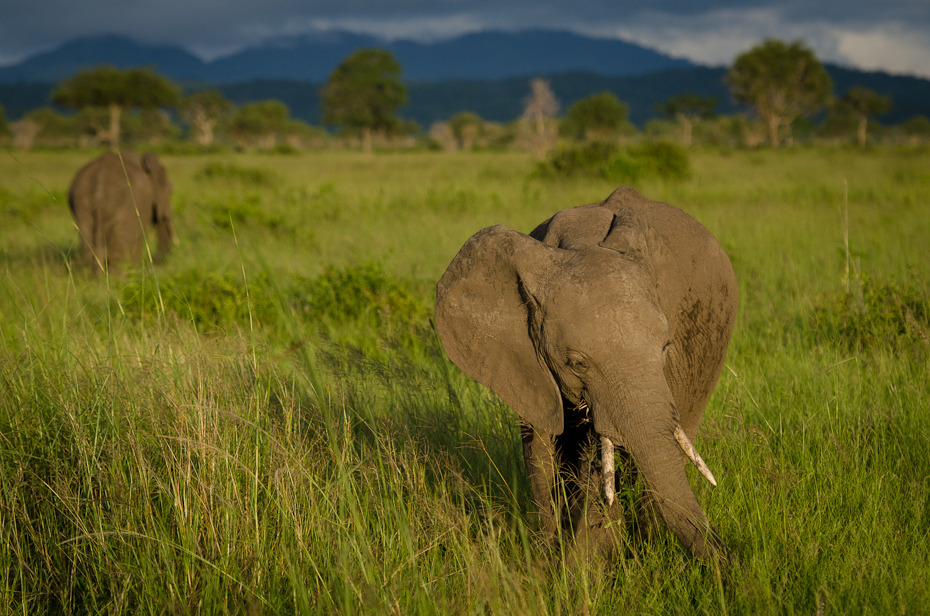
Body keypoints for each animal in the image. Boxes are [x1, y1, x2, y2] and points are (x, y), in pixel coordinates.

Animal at [436, 186, 740, 560]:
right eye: (577, 363)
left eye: (666, 348)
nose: (732, 562)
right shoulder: (525, 359)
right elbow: (541, 446)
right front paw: (553, 560)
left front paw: (585, 562)